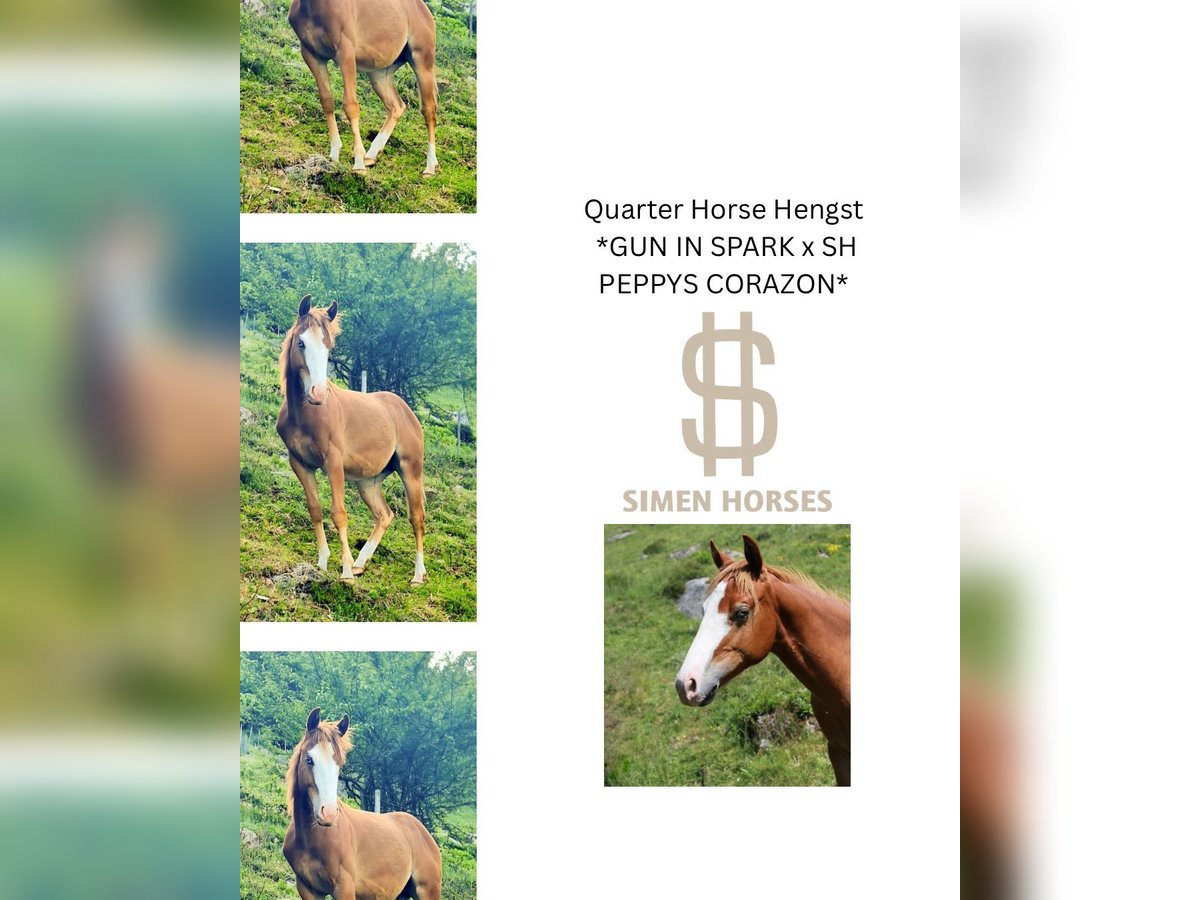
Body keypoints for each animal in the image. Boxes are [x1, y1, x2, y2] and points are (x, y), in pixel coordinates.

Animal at [277, 295, 428, 584]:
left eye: (328, 346)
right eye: (301, 343)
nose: (318, 393)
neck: (306, 413)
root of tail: (407, 412)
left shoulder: (333, 462)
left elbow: (339, 513)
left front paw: (345, 571)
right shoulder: (299, 463)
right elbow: (315, 508)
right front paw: (323, 563)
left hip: (410, 471)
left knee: (417, 518)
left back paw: (417, 575)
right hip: (368, 482)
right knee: (384, 515)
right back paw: (360, 563)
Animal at [284, 707, 443, 900]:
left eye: (339, 764)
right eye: (309, 759)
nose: (328, 814)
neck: (311, 839)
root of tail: (426, 835)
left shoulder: (344, 888)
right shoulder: (307, 889)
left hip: (427, 892)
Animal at [288, 0, 439, 175]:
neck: (314, 7)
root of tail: (424, 11)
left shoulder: (345, 52)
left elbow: (350, 105)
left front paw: (358, 163)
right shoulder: (312, 55)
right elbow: (327, 101)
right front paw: (334, 156)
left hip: (422, 62)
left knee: (429, 110)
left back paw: (430, 167)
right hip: (380, 74)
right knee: (397, 106)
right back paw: (371, 155)